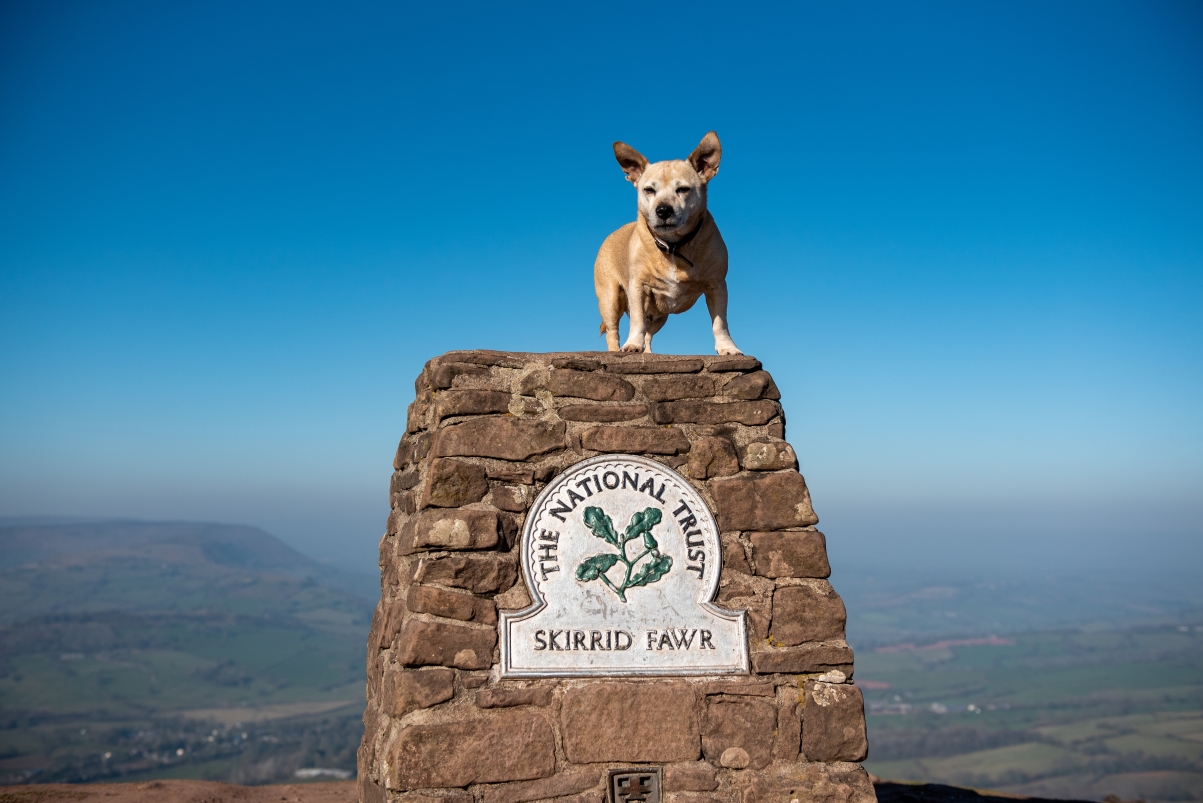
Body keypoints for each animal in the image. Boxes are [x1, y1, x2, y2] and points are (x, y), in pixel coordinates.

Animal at [594, 131, 741, 353]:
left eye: (683, 189)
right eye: (648, 190)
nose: (663, 210)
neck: (672, 246)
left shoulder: (717, 286)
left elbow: (720, 323)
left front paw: (727, 347)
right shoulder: (638, 287)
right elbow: (636, 321)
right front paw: (632, 344)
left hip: (659, 316)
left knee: (648, 333)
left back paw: (648, 353)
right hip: (610, 298)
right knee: (613, 332)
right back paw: (616, 350)